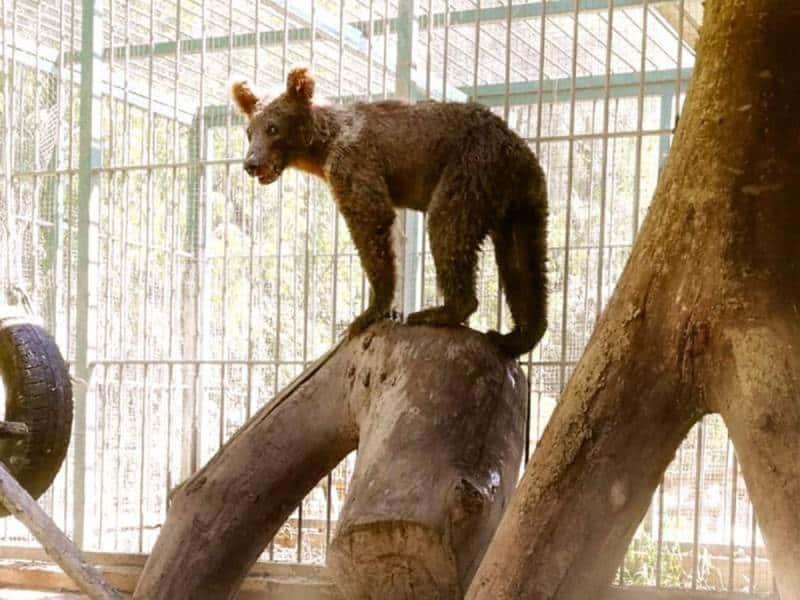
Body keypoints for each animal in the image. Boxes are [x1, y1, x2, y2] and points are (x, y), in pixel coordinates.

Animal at [228, 67, 548, 356]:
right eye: (249, 132)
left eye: (273, 128)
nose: (251, 163)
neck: (321, 150)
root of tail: (516, 149)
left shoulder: (354, 164)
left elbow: (372, 225)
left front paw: (368, 313)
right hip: (523, 203)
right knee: (524, 262)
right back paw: (516, 336)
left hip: (469, 171)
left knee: (448, 229)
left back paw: (437, 311)